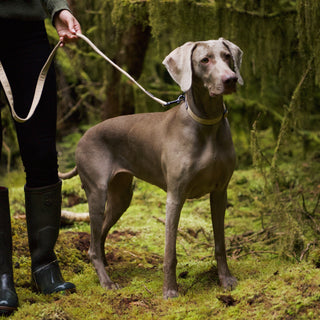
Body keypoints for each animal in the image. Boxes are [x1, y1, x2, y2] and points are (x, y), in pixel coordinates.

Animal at [60, 38, 244, 298]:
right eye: (204, 60)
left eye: (227, 56)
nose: (231, 79)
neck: (207, 123)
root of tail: (83, 138)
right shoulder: (175, 196)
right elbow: (170, 252)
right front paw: (170, 291)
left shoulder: (220, 192)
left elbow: (220, 243)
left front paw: (225, 280)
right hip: (97, 193)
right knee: (93, 244)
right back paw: (106, 282)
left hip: (121, 196)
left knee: (100, 235)